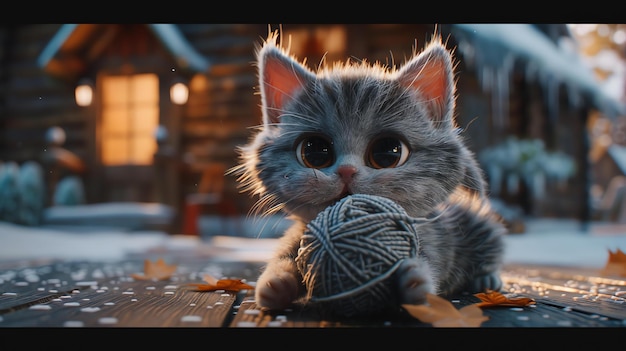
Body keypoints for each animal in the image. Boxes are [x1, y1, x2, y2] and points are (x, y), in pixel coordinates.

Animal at [232, 31, 504, 312]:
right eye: (314, 151)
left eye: (388, 152)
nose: (346, 171)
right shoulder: (298, 235)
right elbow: (284, 256)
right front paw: (275, 283)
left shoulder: (434, 237)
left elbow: (430, 258)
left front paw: (415, 280)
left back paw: (486, 278)